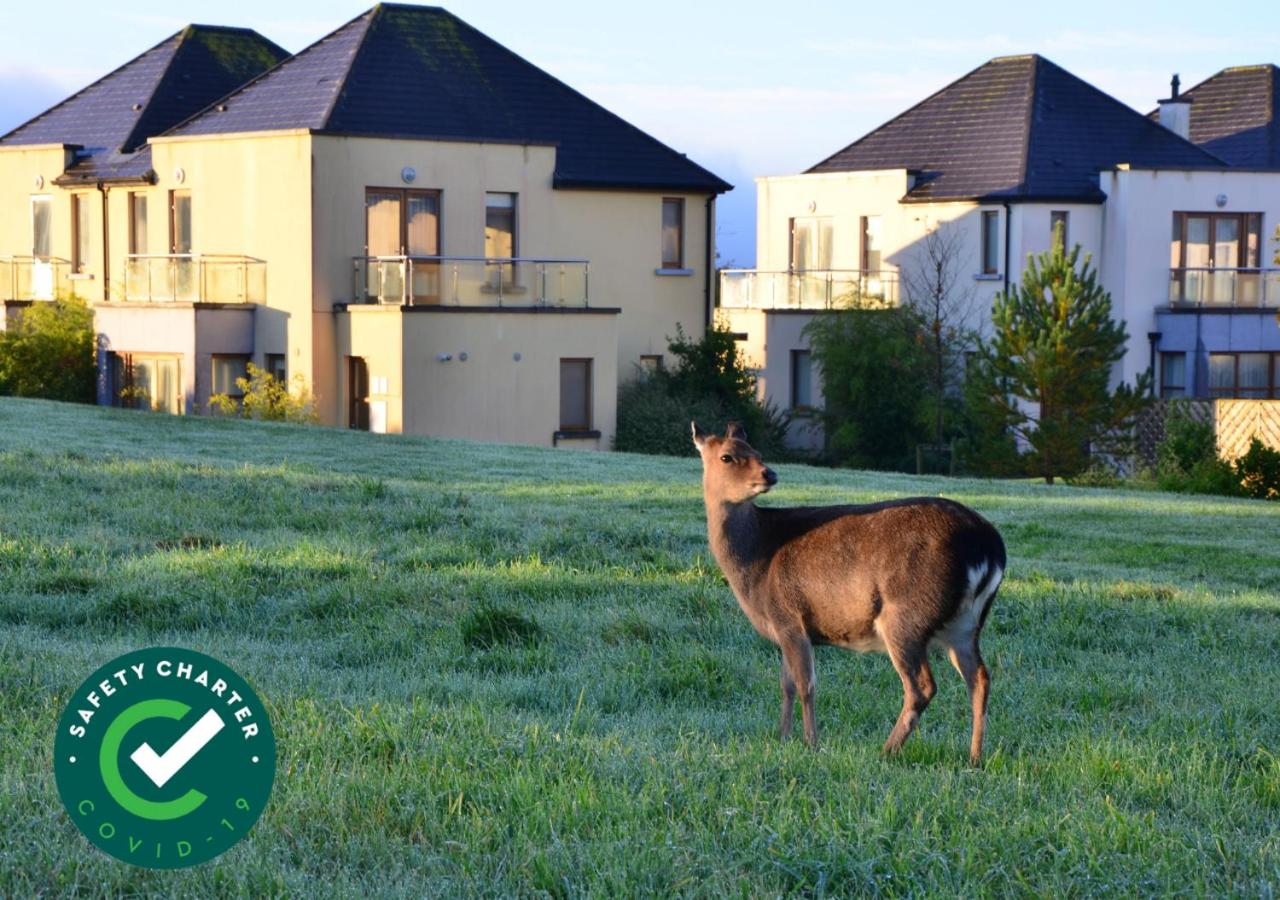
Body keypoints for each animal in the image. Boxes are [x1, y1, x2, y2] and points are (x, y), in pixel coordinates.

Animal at [696, 425, 1003, 763]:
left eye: (756, 452)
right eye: (727, 456)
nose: (770, 474)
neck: (757, 562)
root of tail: (989, 548)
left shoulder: (789, 617)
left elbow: (805, 684)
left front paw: (811, 743)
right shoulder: (783, 629)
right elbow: (785, 684)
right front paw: (782, 737)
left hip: (906, 615)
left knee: (922, 686)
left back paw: (886, 751)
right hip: (965, 624)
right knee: (980, 678)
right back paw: (974, 757)